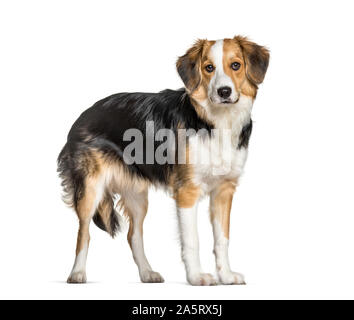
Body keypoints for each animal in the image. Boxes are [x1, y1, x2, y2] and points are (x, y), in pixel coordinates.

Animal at [57, 35, 268, 284]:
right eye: (209, 68)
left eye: (236, 65)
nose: (224, 91)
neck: (215, 122)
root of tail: (84, 114)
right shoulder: (187, 191)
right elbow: (192, 240)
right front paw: (197, 277)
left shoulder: (224, 190)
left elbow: (222, 239)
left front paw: (225, 275)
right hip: (90, 189)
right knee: (84, 233)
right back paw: (77, 273)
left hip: (137, 195)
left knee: (133, 235)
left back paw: (147, 273)